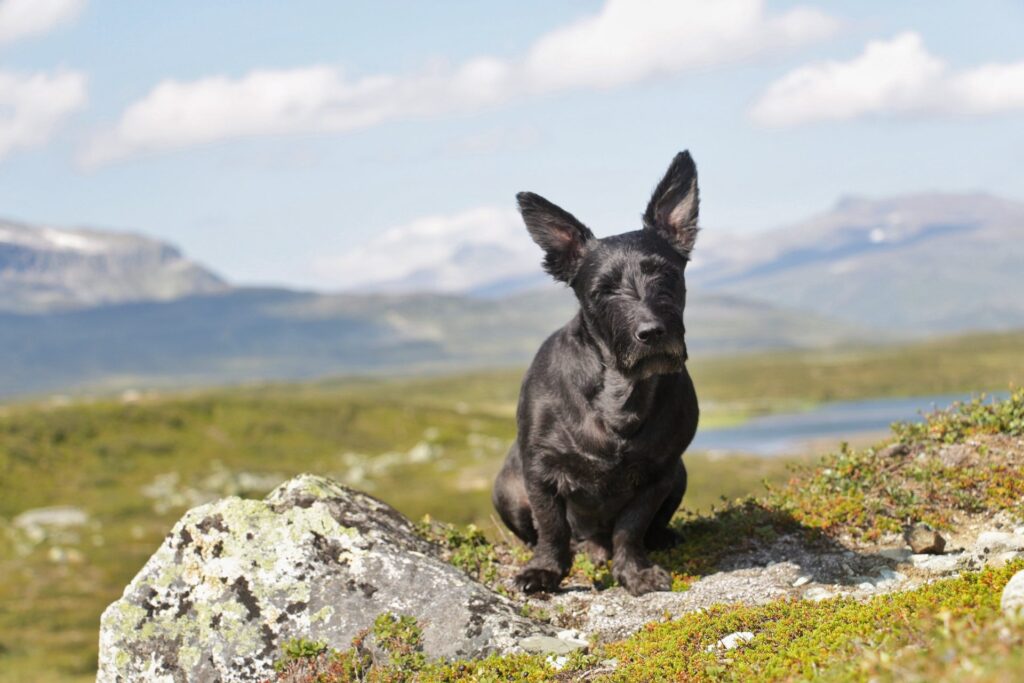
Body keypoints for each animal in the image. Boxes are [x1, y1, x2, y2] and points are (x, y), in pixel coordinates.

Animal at [489, 152, 700, 593]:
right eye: (603, 290)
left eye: (667, 275)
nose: (652, 333)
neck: (619, 389)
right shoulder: (541, 471)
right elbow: (552, 528)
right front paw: (544, 572)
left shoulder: (660, 473)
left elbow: (630, 528)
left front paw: (634, 571)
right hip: (507, 488)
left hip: (681, 476)